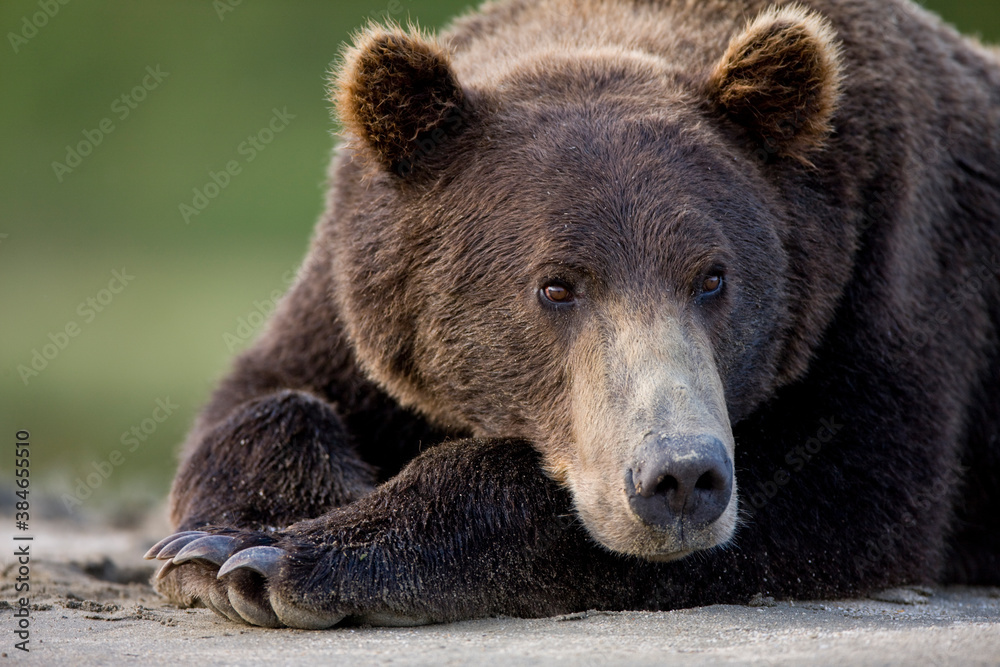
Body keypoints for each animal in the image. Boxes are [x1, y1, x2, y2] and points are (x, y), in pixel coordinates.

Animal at [146, 0, 1000, 632]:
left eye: (713, 277)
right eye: (555, 286)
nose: (680, 476)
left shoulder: (890, 268)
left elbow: (848, 480)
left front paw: (290, 559)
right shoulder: (351, 302)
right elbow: (267, 396)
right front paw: (220, 540)